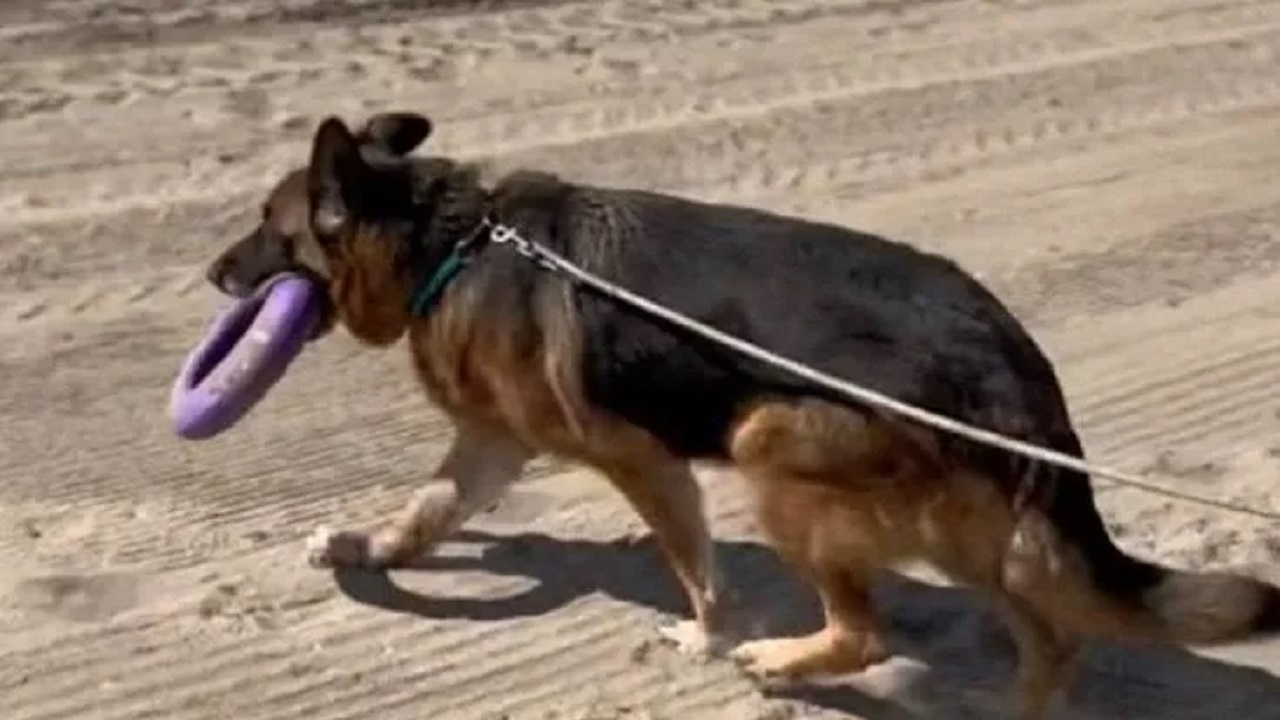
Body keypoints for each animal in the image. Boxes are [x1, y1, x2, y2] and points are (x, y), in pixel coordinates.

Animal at [204, 112, 1274, 717]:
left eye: (267, 226)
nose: (210, 274)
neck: (453, 239)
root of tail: (1005, 352)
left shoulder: (639, 460)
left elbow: (694, 566)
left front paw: (709, 637)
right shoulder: (490, 444)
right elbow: (425, 512)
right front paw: (363, 547)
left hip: (771, 443)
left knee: (869, 635)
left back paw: (782, 660)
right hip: (969, 524)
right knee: (1052, 634)